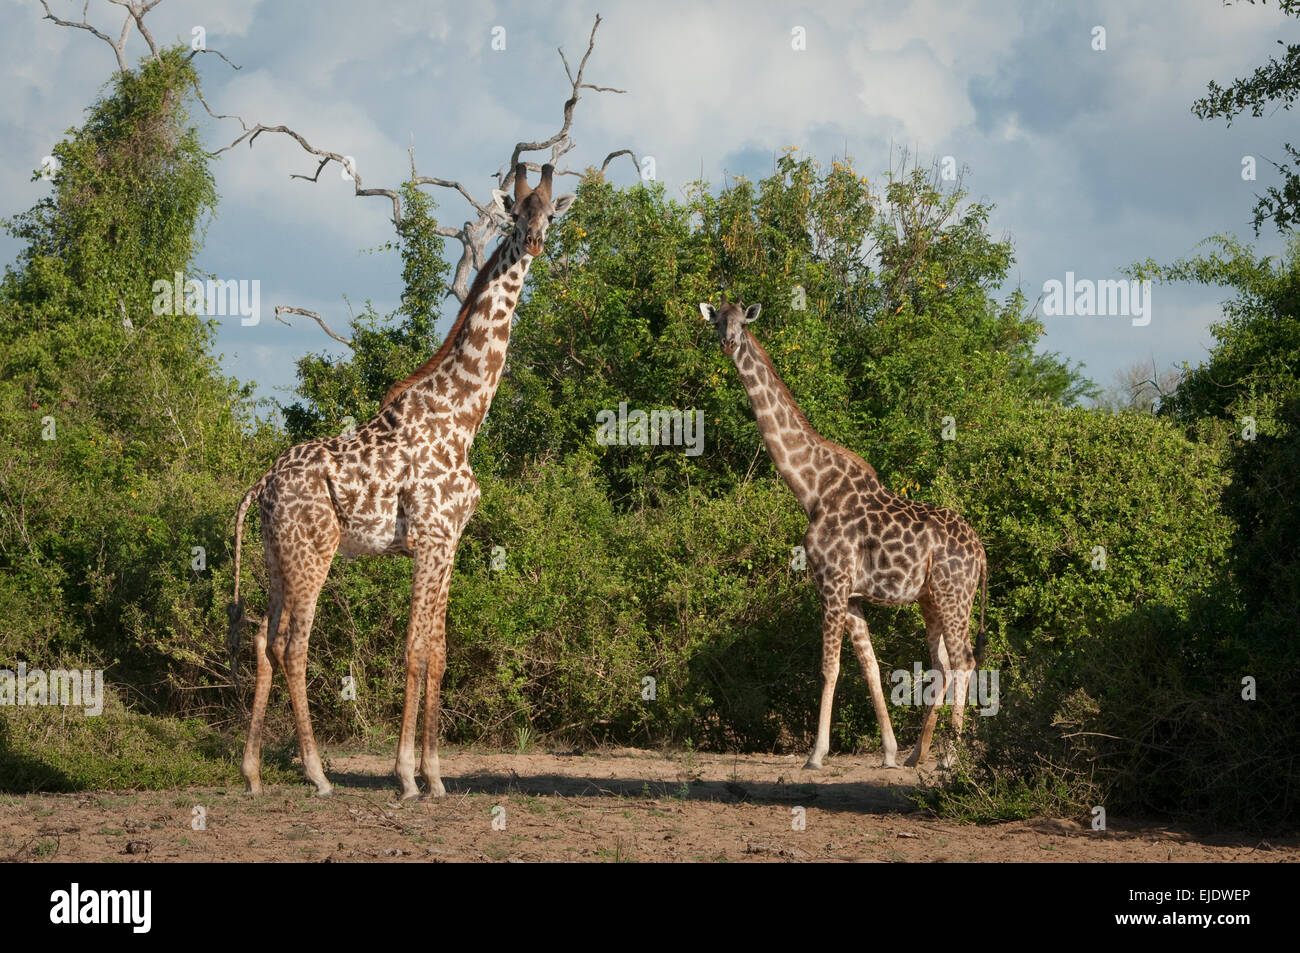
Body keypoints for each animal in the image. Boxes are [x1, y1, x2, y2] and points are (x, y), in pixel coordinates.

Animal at [231, 167, 577, 800]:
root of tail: (260, 487)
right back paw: (317, 775)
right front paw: (408, 777)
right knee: (293, 645)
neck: (463, 417)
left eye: (550, 214)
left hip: (276, 555)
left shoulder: (451, 543)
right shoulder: (432, 539)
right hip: (314, 552)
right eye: (515, 213)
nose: (535, 242)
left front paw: (436, 776)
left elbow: (438, 652)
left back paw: (253, 773)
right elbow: (416, 650)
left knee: (264, 642)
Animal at [702, 293, 982, 769]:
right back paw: (918, 754)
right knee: (943, 662)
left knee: (964, 660)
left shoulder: (832, 583)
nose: (729, 342)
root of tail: (982, 552)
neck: (810, 488)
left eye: (742, 321)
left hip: (954, 593)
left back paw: (950, 757)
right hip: (930, 598)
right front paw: (889, 752)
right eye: (717, 321)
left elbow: (828, 667)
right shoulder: (851, 594)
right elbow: (870, 666)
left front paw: (816, 754)